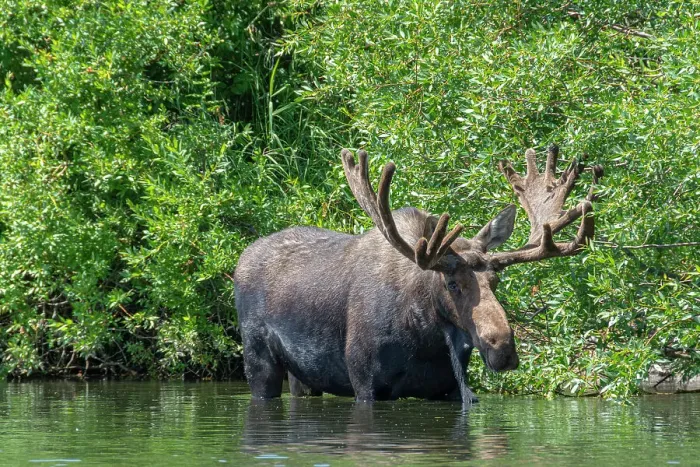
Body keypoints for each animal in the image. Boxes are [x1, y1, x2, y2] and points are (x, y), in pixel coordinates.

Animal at [234, 145, 601, 403]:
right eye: (452, 284)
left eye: (495, 281)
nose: (504, 349)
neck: (425, 336)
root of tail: (242, 258)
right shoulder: (365, 383)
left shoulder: (448, 389)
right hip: (258, 360)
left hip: (303, 377)